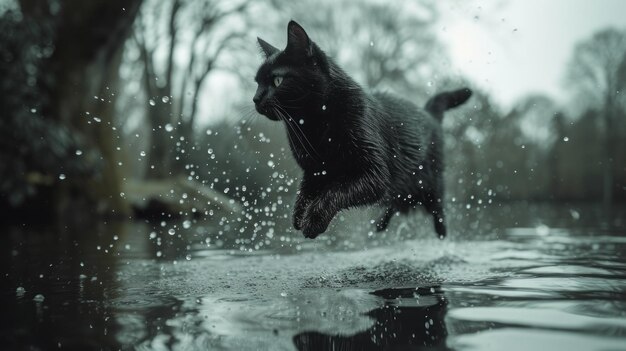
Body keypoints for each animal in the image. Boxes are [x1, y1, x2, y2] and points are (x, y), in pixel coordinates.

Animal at [252, 21, 468, 239]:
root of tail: (428, 112)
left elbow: (335, 192)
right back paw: (379, 226)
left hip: (431, 183)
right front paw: (298, 217)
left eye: (277, 80)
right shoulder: (314, 170)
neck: (314, 126)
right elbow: (303, 193)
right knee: (395, 203)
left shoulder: (375, 174)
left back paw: (442, 236)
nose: (255, 99)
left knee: (437, 210)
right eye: (257, 83)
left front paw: (314, 221)